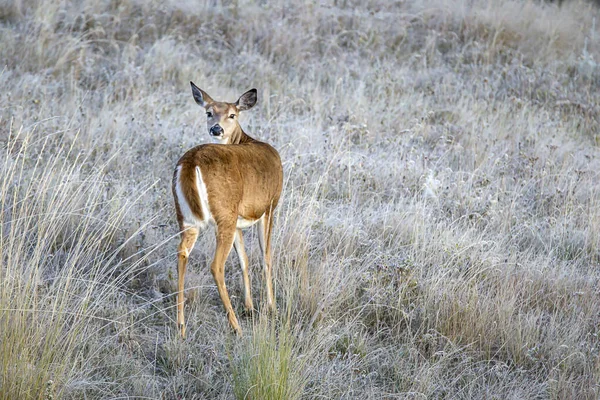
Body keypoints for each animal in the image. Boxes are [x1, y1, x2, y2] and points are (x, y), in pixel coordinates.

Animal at [171, 82, 284, 338]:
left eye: (232, 114)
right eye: (208, 112)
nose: (216, 128)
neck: (245, 140)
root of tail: (191, 163)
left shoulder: (240, 218)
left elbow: (244, 259)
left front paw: (250, 306)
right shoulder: (269, 206)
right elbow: (266, 256)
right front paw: (271, 307)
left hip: (188, 218)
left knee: (182, 254)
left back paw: (181, 326)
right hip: (224, 215)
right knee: (216, 265)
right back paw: (236, 327)